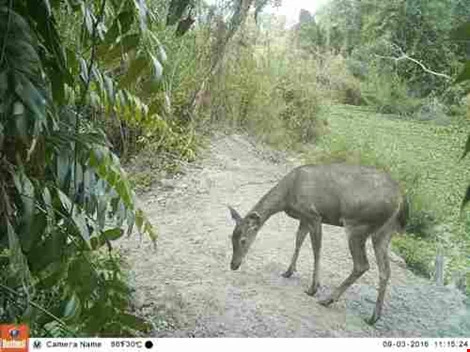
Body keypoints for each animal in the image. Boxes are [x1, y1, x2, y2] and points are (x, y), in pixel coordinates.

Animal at [229, 164, 408, 326]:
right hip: (384, 233)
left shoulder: (313, 215)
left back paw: (327, 299)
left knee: (362, 265)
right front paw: (288, 271)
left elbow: (316, 249)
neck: (287, 195)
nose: (233, 265)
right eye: (231, 238)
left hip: (358, 225)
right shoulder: (304, 218)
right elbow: (298, 240)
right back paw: (373, 317)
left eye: (243, 240)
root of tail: (401, 201)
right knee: (385, 270)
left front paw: (313, 288)